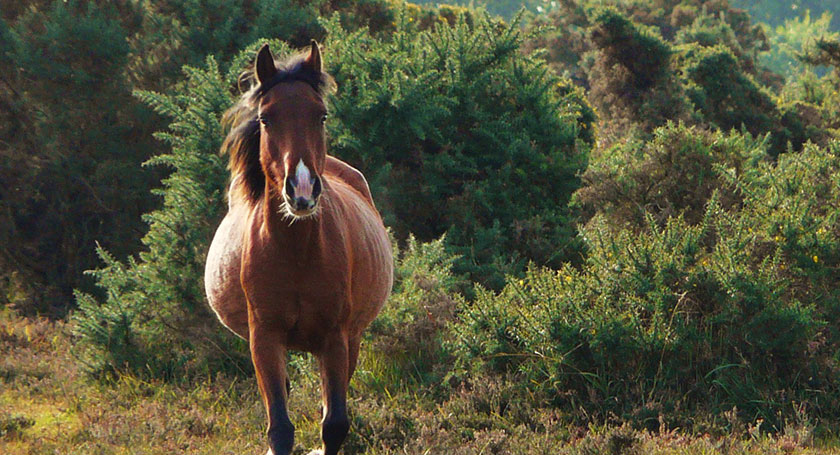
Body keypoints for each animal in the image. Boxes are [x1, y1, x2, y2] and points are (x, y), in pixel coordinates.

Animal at [204, 41, 394, 455]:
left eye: (320, 115)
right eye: (265, 118)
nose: (302, 189)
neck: (296, 255)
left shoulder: (335, 339)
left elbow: (334, 424)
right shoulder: (265, 339)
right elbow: (280, 427)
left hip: (351, 339)